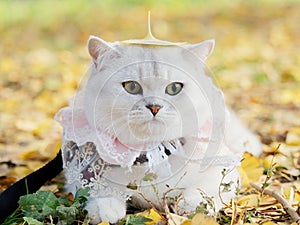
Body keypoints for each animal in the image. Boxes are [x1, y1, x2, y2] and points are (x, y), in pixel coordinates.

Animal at [55, 33, 260, 223]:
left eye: (174, 88)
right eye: (131, 86)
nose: (154, 107)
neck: (152, 155)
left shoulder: (225, 172)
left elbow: (206, 189)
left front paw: (193, 205)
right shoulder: (79, 172)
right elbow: (97, 187)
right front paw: (105, 207)